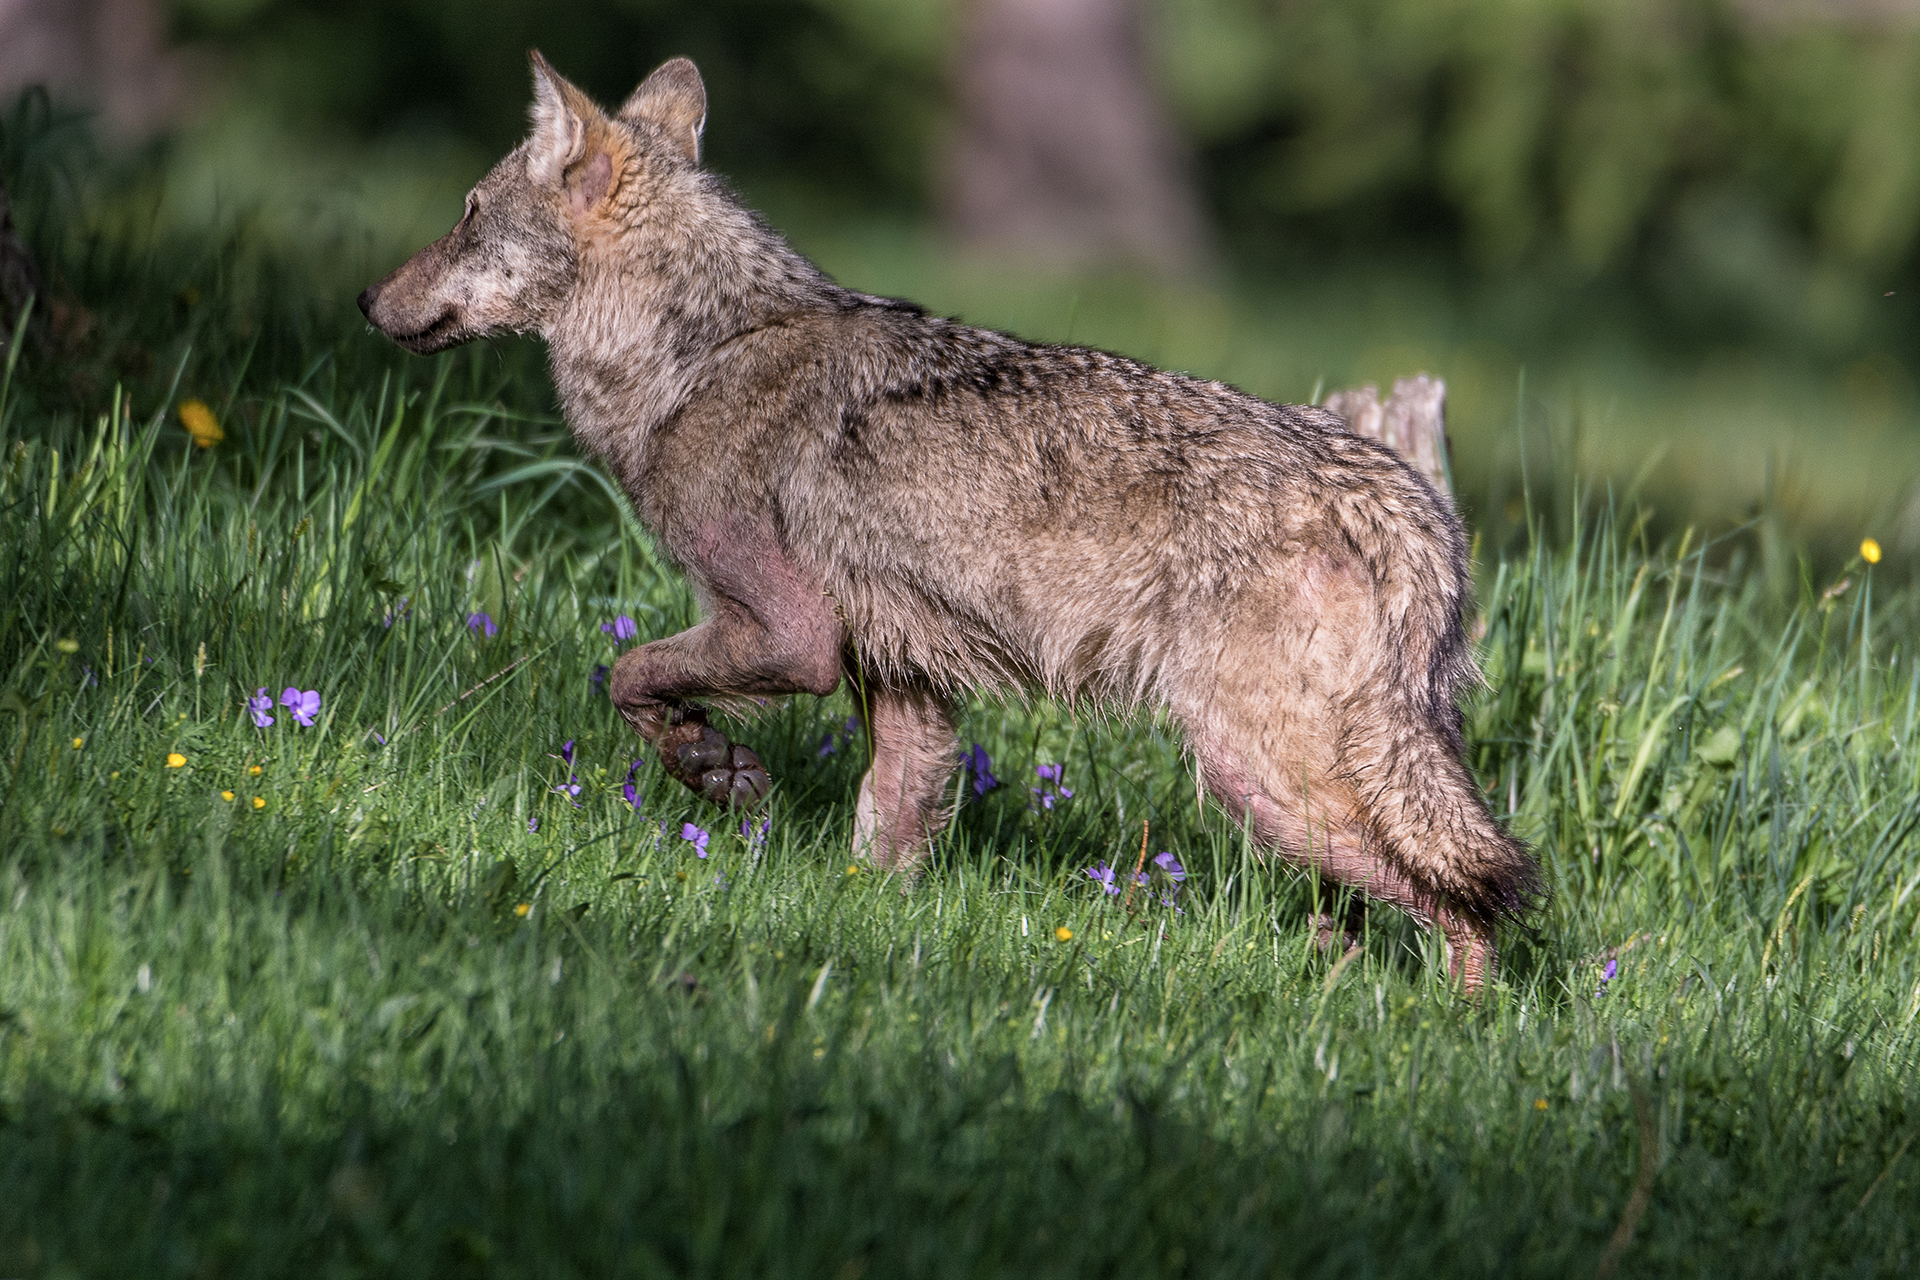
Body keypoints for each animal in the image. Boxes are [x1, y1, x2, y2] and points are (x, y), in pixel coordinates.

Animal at [358, 54, 1542, 990]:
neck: (696, 357)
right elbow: (883, 837)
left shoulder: (793, 635)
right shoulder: (905, 685)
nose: (368, 301)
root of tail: (1411, 505)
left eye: (465, 212)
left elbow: (629, 676)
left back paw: (1457, 1030)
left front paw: (714, 767)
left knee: (1474, 901)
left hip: (1267, 782)